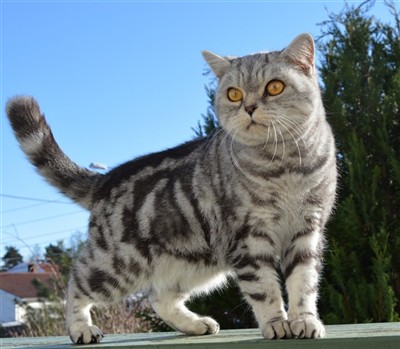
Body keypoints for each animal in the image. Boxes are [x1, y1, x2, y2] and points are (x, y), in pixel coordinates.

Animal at [7, 33, 336, 342]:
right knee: (76, 281)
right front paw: (276, 323)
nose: (250, 107)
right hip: (117, 266)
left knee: (158, 298)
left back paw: (195, 324)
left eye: (275, 87)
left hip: (194, 263)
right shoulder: (250, 239)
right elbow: (264, 289)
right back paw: (80, 329)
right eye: (234, 94)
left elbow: (304, 284)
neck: (285, 166)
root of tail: (105, 179)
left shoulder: (307, 231)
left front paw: (304, 320)